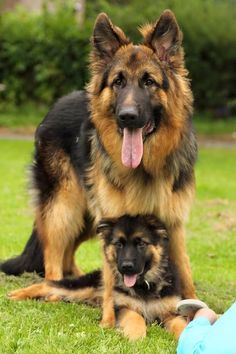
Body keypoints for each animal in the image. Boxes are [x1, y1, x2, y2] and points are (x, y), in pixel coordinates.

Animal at [1, 9, 197, 316]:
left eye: (149, 82)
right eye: (118, 82)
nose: (127, 116)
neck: (145, 168)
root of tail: (56, 104)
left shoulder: (173, 224)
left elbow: (185, 271)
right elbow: (111, 279)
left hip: (87, 218)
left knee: (67, 254)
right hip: (64, 208)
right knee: (53, 259)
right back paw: (56, 292)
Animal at [8, 214, 186, 342]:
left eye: (141, 244)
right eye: (119, 244)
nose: (126, 266)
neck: (145, 286)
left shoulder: (171, 312)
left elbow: (181, 324)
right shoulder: (122, 307)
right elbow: (135, 317)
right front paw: (136, 336)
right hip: (83, 287)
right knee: (49, 284)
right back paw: (16, 294)